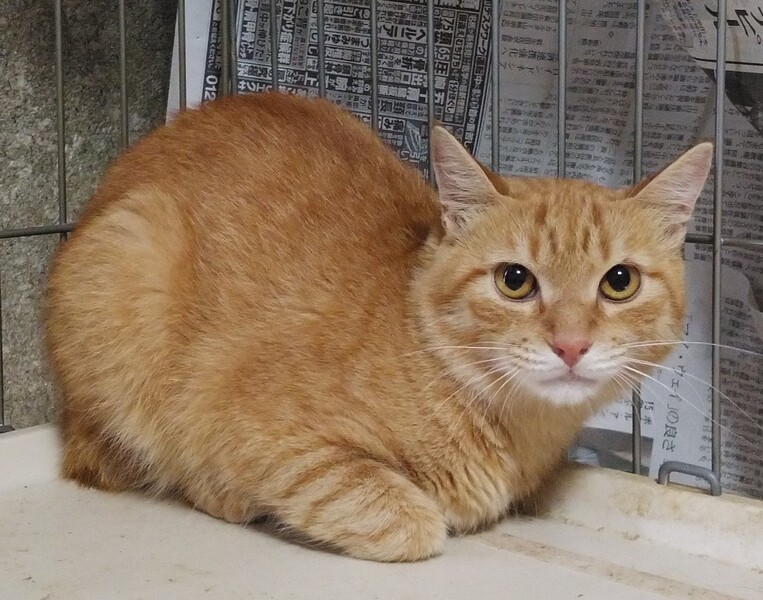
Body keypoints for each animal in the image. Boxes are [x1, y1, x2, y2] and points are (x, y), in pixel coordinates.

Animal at [44, 91, 712, 562]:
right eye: (515, 280)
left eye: (619, 282)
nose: (571, 345)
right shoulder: (245, 423)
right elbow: (405, 517)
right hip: (128, 274)